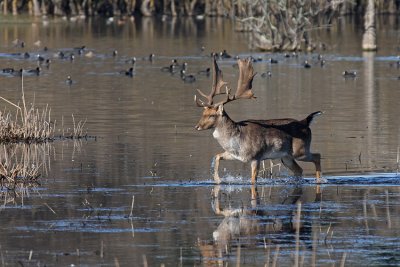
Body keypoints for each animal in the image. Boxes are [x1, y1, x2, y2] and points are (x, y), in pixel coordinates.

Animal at [194, 57, 322, 185]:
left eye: (212, 115)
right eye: (203, 113)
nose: (197, 126)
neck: (236, 142)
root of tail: (305, 122)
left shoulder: (256, 156)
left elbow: (253, 180)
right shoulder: (234, 155)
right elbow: (217, 156)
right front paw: (217, 179)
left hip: (300, 150)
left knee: (317, 156)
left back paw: (319, 180)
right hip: (286, 157)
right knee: (299, 170)